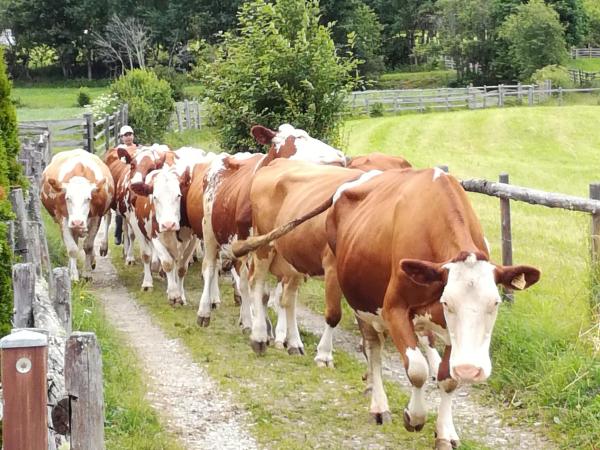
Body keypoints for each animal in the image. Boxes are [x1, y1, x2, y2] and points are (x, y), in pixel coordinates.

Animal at [41, 148, 114, 282]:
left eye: (88, 198)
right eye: (67, 198)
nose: (77, 222)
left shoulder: (96, 217)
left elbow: (88, 246)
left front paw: (86, 273)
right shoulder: (63, 218)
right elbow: (72, 248)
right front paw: (73, 275)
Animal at [326, 168, 540, 446]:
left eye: (495, 303)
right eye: (447, 302)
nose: (470, 370)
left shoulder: (449, 332)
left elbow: (447, 379)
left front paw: (445, 433)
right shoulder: (393, 308)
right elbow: (417, 368)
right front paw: (414, 416)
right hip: (360, 302)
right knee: (373, 348)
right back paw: (379, 404)